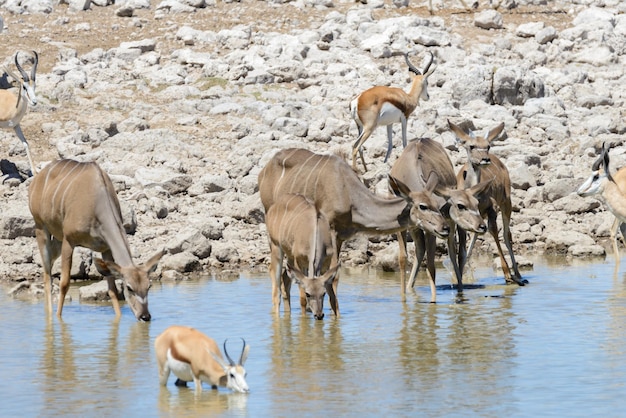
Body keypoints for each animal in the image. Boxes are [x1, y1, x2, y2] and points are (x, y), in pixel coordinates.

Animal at [28, 159, 163, 320]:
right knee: (48, 273)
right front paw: (59, 317)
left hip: (57, 239)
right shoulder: (69, 240)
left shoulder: (106, 248)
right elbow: (64, 283)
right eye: (129, 288)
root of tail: (38, 177)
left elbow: (112, 289)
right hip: (41, 227)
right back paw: (49, 315)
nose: (145, 316)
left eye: (149, 286)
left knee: (48, 265)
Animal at [258, 149, 448, 316]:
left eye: (437, 205)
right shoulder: (331, 231)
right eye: (423, 206)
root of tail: (264, 171)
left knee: (287, 276)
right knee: (276, 272)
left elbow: (331, 278)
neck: (348, 194)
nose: (444, 228)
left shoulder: (341, 237)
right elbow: (333, 277)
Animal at [390, 138, 488, 300]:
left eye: (476, 203)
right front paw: (404, 296)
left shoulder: (433, 230)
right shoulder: (404, 226)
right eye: (460, 205)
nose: (482, 226)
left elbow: (431, 264)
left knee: (455, 253)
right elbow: (403, 259)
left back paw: (460, 289)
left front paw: (433, 300)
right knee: (421, 249)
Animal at [446, 119, 524, 286]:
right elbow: (462, 249)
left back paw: (518, 275)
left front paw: (507, 274)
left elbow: (494, 232)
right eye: (471, 146)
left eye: (487, 146)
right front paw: (458, 278)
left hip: (506, 202)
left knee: (507, 235)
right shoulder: (463, 217)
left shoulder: (492, 207)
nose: (485, 159)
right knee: (476, 236)